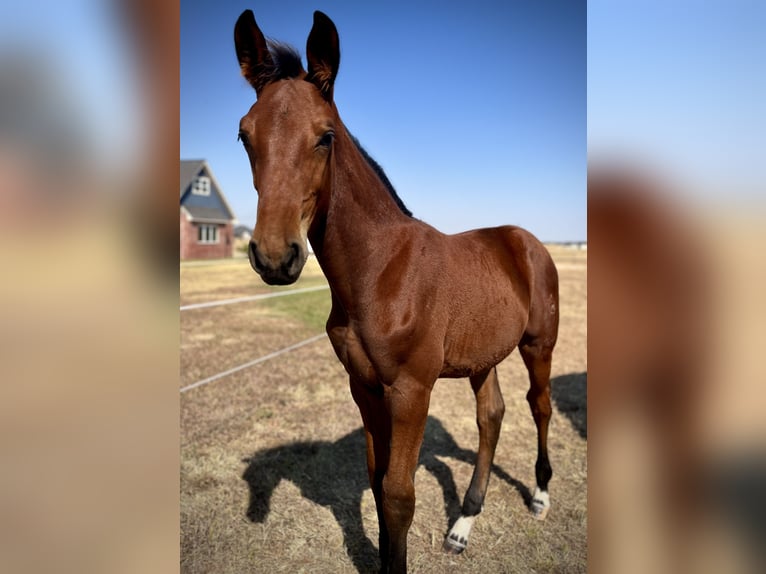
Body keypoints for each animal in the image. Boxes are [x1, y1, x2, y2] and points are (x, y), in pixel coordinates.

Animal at [232, 10, 560, 574]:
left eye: (325, 137)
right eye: (244, 135)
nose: (275, 256)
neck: (381, 272)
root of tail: (525, 240)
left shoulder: (411, 390)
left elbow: (399, 495)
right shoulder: (363, 387)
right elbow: (376, 483)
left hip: (538, 345)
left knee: (539, 405)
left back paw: (539, 494)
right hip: (483, 355)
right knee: (491, 416)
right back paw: (462, 524)